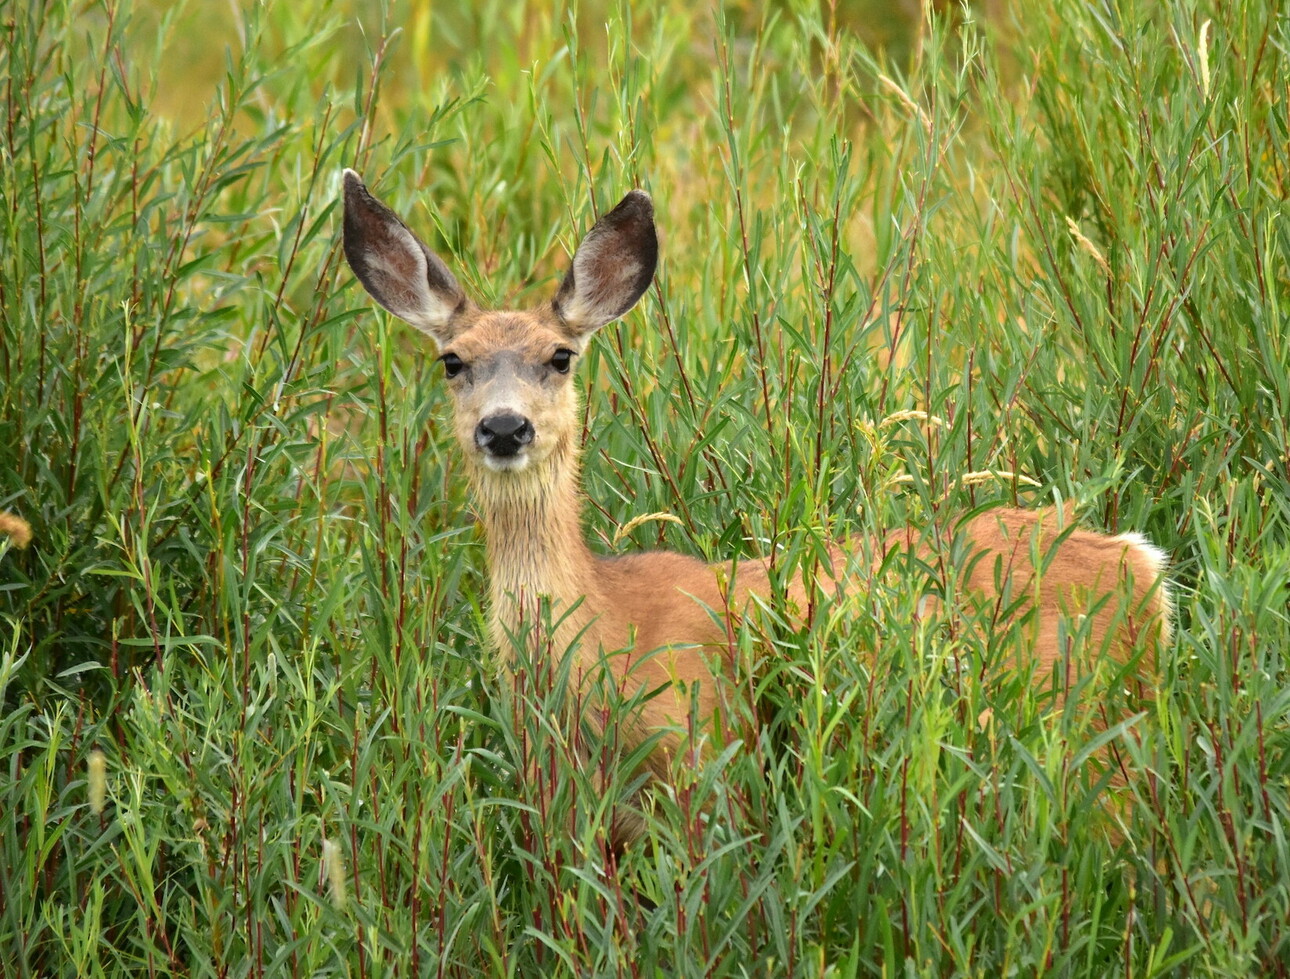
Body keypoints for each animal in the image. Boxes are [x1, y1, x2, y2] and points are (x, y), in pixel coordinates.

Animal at [340, 172, 1171, 846]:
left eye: (560, 355)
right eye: (453, 361)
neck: (599, 631)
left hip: (1097, 722)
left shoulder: (704, 749)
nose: (505, 427)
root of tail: (1140, 562)